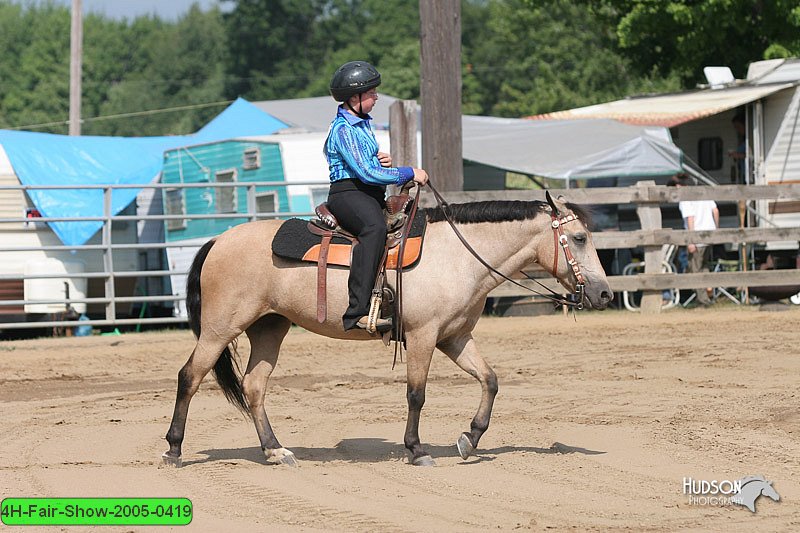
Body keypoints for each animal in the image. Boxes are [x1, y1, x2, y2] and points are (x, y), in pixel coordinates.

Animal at [162, 190, 612, 466]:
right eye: (579, 237)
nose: (605, 293)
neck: (458, 256)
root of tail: (218, 241)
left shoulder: (455, 337)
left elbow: (490, 380)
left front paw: (470, 439)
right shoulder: (423, 336)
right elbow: (416, 394)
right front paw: (416, 450)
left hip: (269, 328)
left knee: (254, 387)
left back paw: (276, 451)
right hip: (220, 328)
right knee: (189, 376)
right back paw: (173, 449)